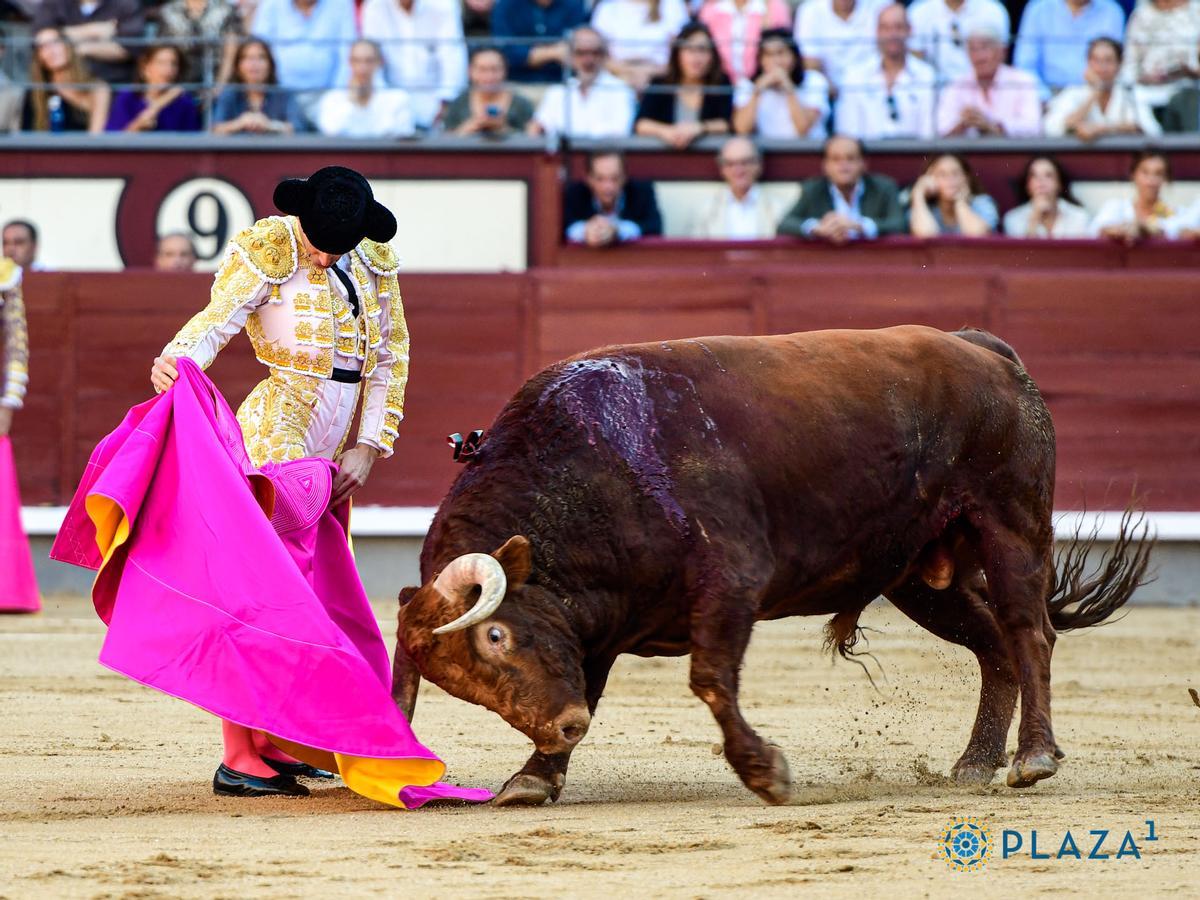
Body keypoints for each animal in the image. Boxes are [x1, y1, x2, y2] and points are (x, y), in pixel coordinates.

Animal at [388, 328, 1147, 806]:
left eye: (496, 634)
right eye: (461, 685)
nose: (563, 726)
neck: (592, 465)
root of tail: (984, 348)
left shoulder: (733, 581)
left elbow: (710, 679)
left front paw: (765, 773)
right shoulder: (597, 626)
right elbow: (596, 685)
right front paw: (535, 778)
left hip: (1011, 522)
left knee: (1027, 632)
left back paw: (1034, 758)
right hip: (917, 577)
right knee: (991, 645)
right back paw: (975, 763)